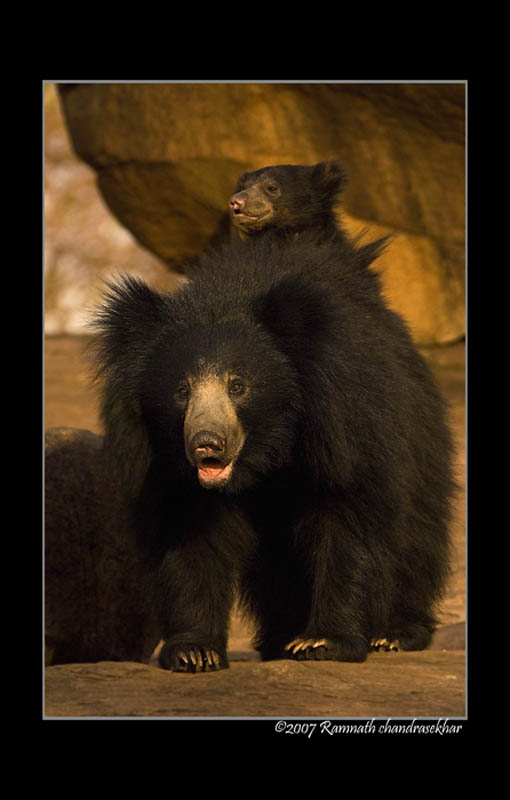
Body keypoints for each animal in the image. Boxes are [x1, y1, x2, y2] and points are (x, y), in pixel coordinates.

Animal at [92, 233, 454, 672]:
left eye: (238, 386)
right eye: (182, 391)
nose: (206, 443)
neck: (265, 450)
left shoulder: (345, 427)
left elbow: (348, 518)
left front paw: (323, 642)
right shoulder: (158, 460)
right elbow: (186, 532)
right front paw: (194, 651)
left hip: (420, 438)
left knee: (417, 532)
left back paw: (395, 634)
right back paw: (279, 638)